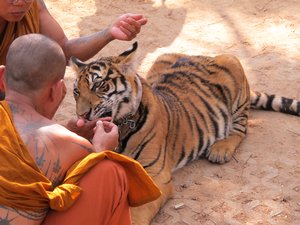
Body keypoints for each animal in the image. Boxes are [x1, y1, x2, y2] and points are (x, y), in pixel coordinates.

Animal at [69, 42, 298, 225]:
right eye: (76, 91)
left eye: (99, 85)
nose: (82, 114)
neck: (123, 124)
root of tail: (203, 56)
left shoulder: (154, 175)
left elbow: (137, 213)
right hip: (164, 55)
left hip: (234, 67)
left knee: (241, 126)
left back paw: (221, 149)